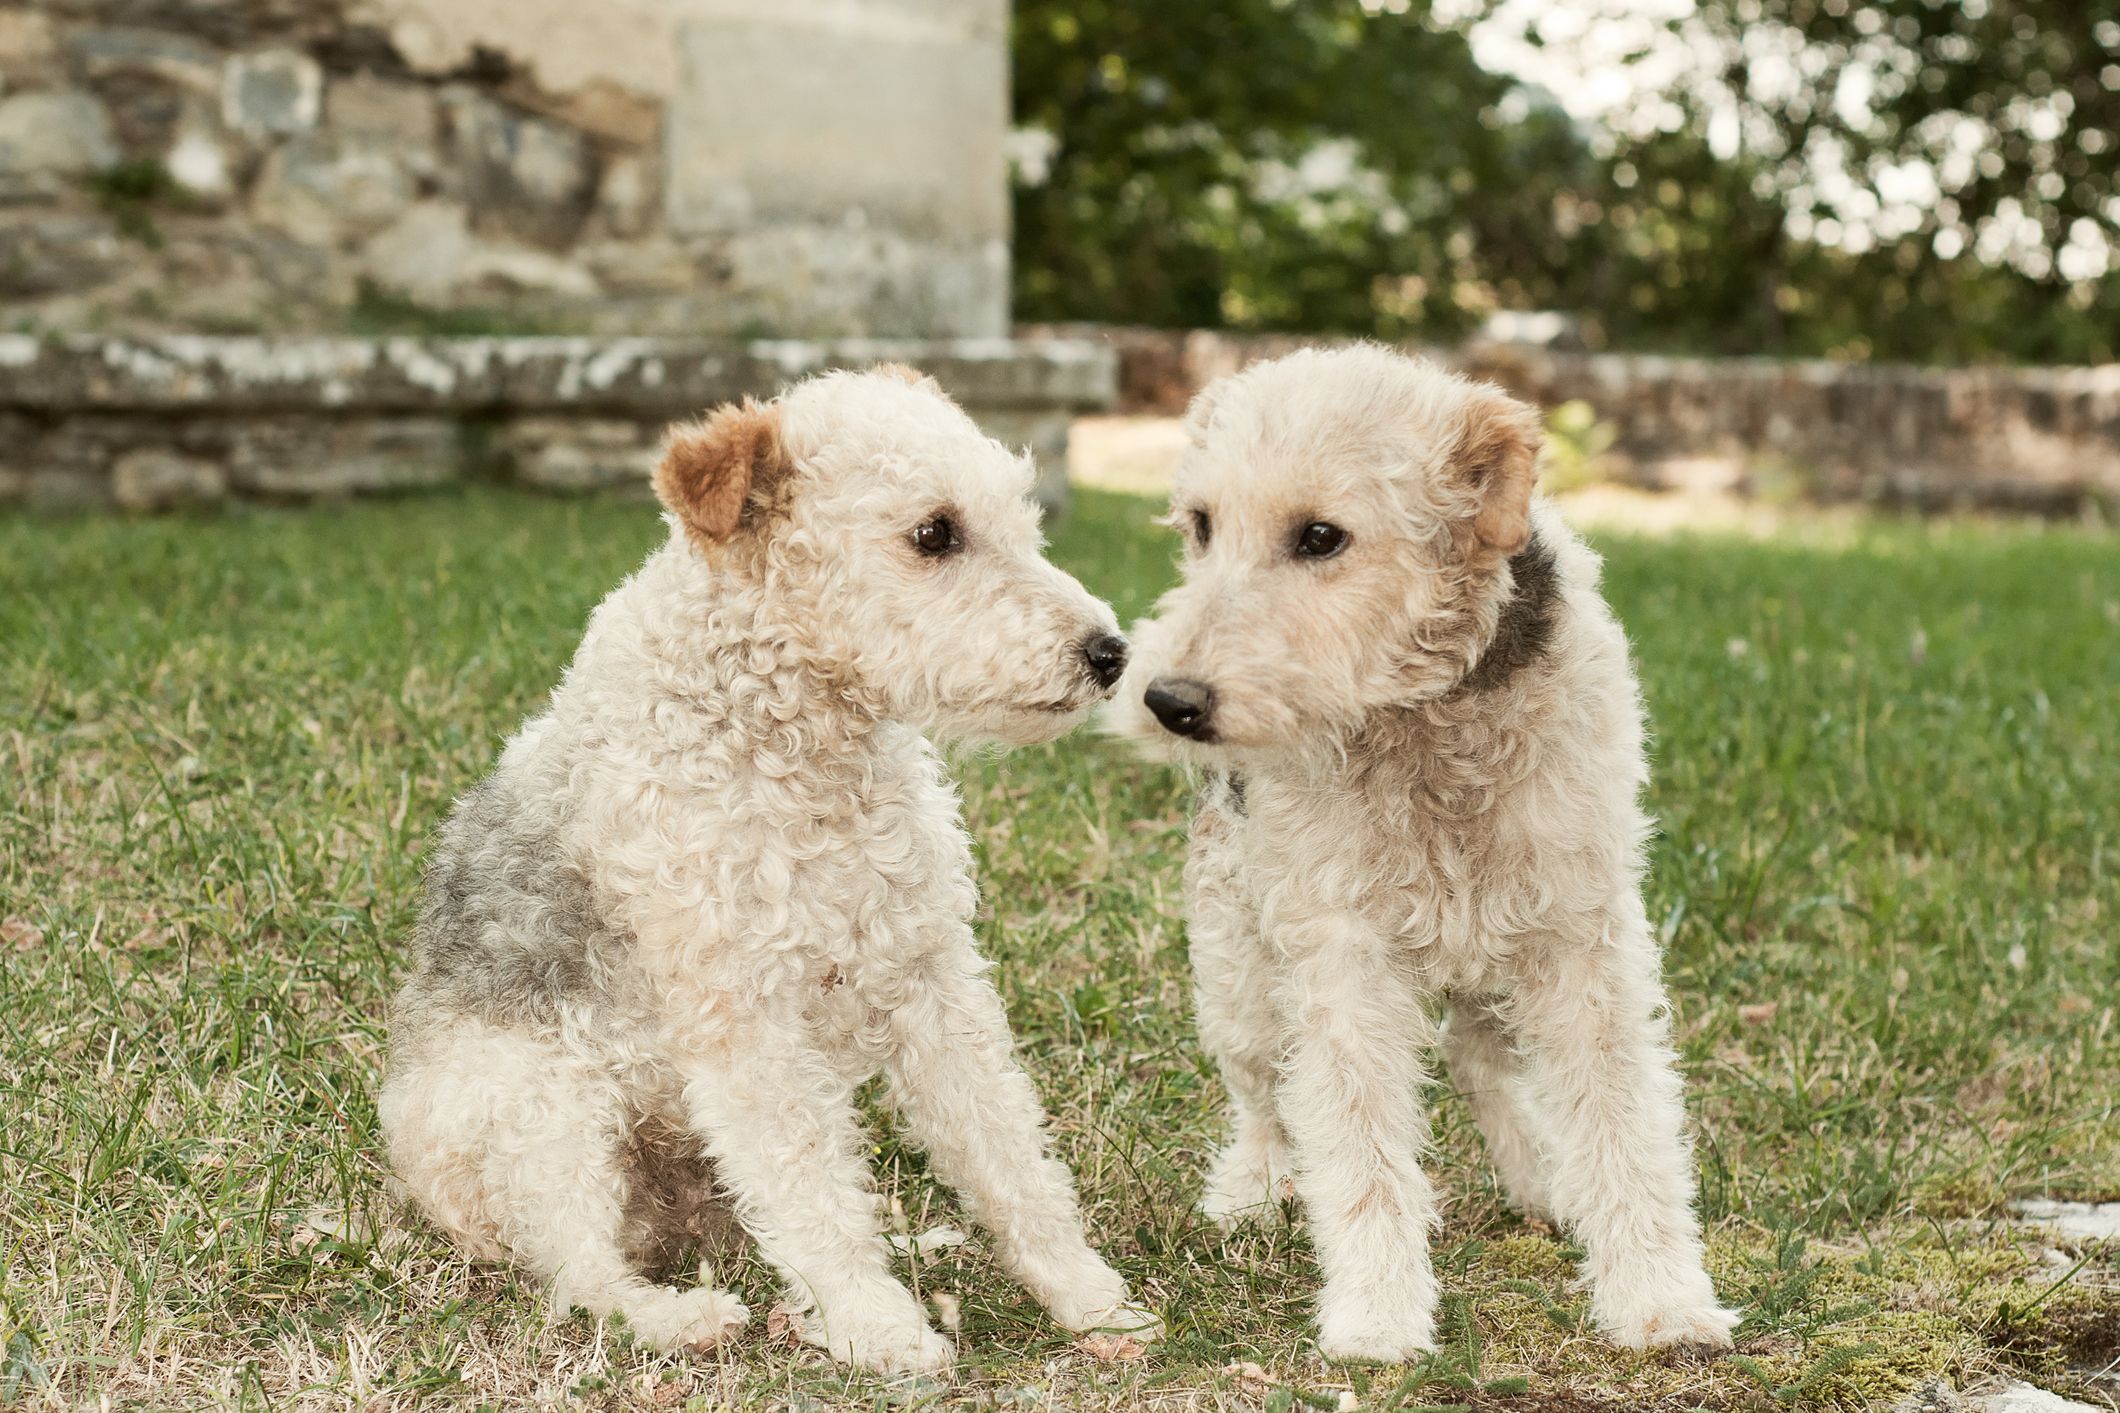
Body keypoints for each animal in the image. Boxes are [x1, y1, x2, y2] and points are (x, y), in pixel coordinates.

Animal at [390, 362, 1170, 1372]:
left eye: (1022, 516)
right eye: (934, 531)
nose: (1109, 653)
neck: (795, 742)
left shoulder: (932, 975)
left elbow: (1004, 1153)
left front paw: (1089, 1299)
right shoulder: (745, 1015)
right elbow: (811, 1187)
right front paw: (880, 1328)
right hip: (548, 1117)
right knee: (581, 1272)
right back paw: (683, 1317)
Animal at [1110, 338, 1738, 1355]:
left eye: (1321, 536)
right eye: (1200, 524)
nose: (1169, 700)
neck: (1426, 715)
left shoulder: (1582, 937)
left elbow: (1622, 1118)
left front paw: (1662, 1299)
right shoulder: (1342, 951)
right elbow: (1360, 1142)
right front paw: (1377, 1317)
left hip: (1497, 956)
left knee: (1478, 1057)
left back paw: (1542, 1176)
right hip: (1240, 964)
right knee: (1264, 1095)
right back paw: (1254, 1189)